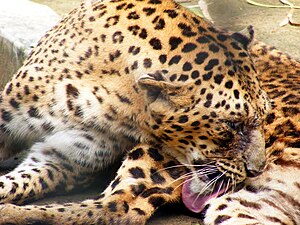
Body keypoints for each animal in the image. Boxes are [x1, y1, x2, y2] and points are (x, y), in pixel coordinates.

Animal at [0, 0, 298, 224]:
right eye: (232, 125)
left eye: (263, 117)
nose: (257, 170)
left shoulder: (67, 157)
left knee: (118, 208)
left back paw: (11, 214)